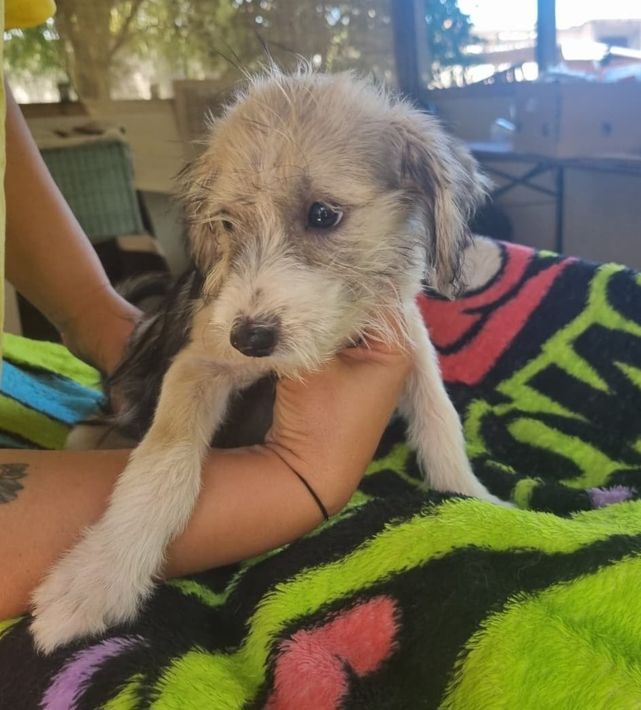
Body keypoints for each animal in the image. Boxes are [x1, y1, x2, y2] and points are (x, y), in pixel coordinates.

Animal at [31, 67, 503, 653]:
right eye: (227, 224)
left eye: (322, 214)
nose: (249, 339)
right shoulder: (200, 362)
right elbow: (162, 463)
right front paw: (98, 579)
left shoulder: (404, 336)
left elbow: (440, 418)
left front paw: (473, 498)